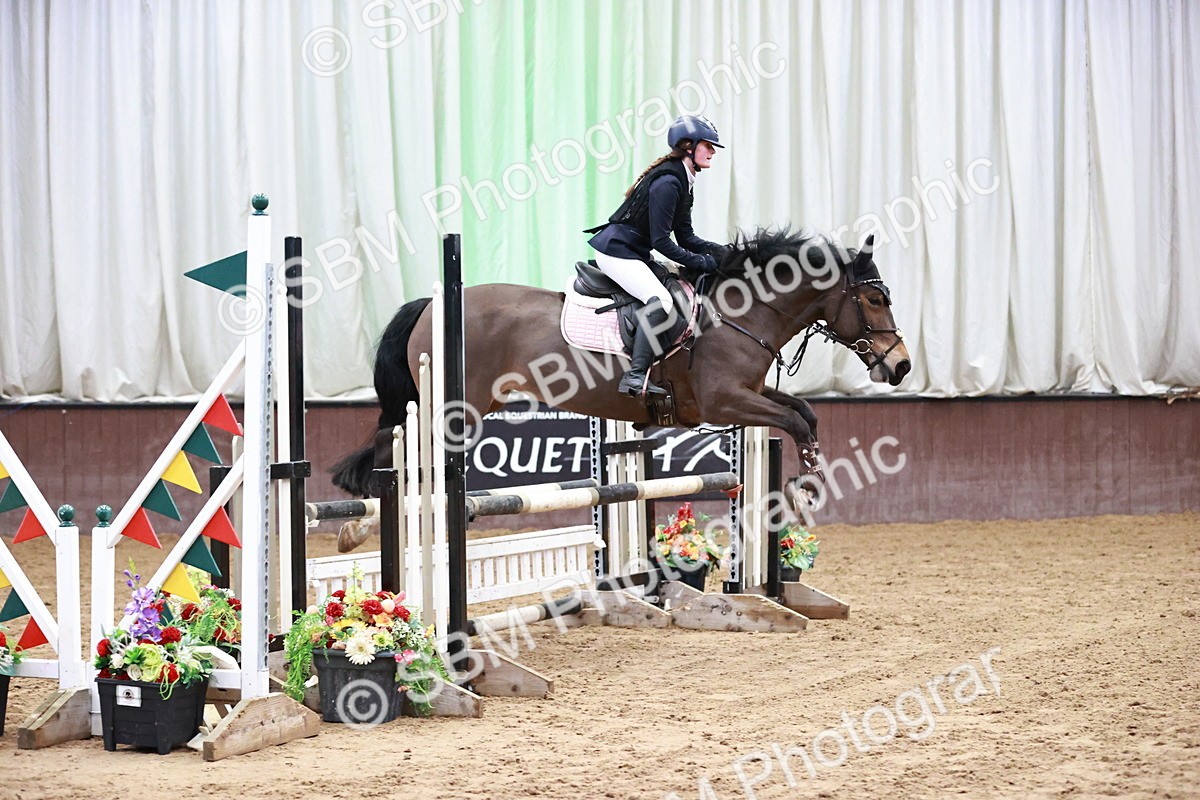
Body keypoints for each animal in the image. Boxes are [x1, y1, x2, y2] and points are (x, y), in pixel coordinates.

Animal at [331, 227, 910, 502]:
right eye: (875, 299)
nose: (901, 367)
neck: (739, 313)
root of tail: (431, 304)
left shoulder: (747, 393)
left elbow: (802, 410)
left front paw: (810, 467)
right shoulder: (723, 403)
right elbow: (792, 418)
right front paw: (809, 477)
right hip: (453, 408)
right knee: (395, 446)